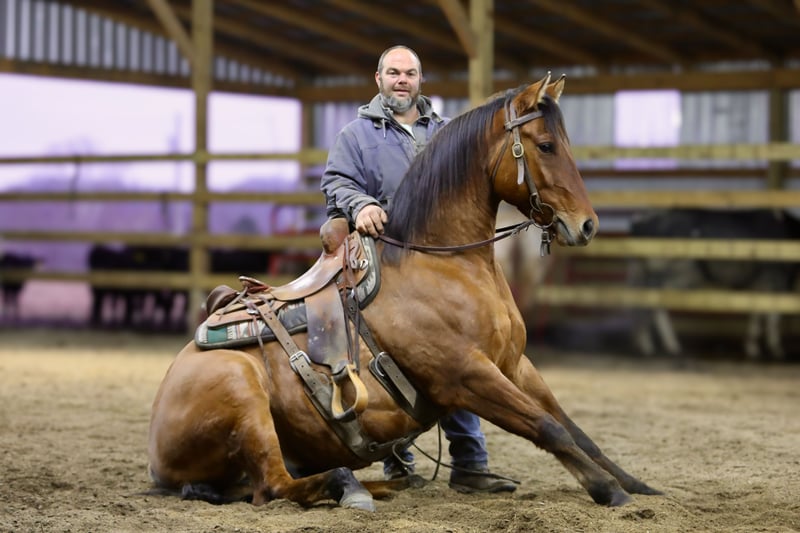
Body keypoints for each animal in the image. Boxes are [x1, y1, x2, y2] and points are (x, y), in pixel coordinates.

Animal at [148, 73, 661, 512]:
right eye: (547, 145)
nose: (588, 224)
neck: (441, 264)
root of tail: (156, 459)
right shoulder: (467, 376)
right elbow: (549, 427)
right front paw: (608, 490)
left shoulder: (515, 364)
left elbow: (576, 429)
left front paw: (637, 483)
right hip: (243, 392)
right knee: (273, 485)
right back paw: (348, 486)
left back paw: (385, 484)